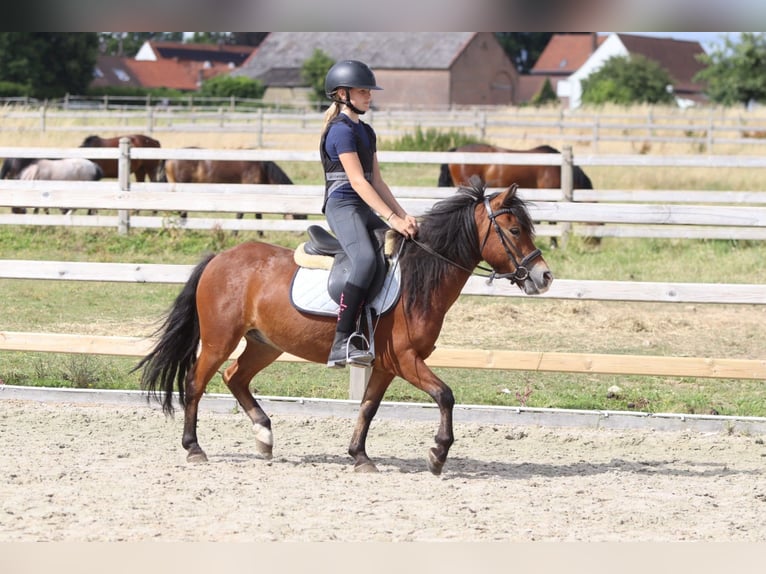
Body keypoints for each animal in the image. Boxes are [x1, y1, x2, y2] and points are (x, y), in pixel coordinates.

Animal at [133, 178, 553, 475]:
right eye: (515, 231)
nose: (544, 277)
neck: (417, 278)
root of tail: (221, 257)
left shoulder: (386, 364)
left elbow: (368, 408)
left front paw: (359, 456)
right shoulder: (405, 359)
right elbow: (445, 396)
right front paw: (437, 453)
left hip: (265, 344)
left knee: (235, 376)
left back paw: (264, 436)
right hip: (220, 339)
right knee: (196, 382)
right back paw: (194, 448)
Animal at [438, 143, 599, 245]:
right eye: (599, 223)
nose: (596, 243)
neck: (557, 168)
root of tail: (456, 150)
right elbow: (551, 222)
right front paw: (553, 244)